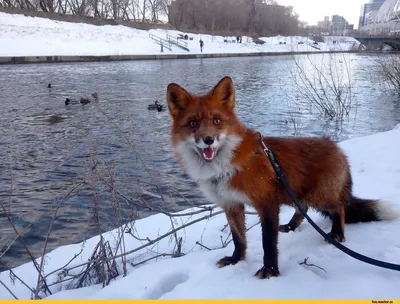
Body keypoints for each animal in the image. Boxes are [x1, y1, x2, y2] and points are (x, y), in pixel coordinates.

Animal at [165, 75, 396, 278]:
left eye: (216, 120)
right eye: (193, 123)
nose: (208, 140)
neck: (224, 168)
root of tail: (336, 146)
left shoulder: (266, 203)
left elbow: (268, 242)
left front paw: (270, 271)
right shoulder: (231, 204)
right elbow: (239, 239)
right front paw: (236, 260)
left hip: (319, 197)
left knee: (339, 207)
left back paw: (337, 234)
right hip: (295, 193)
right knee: (303, 209)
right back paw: (292, 226)